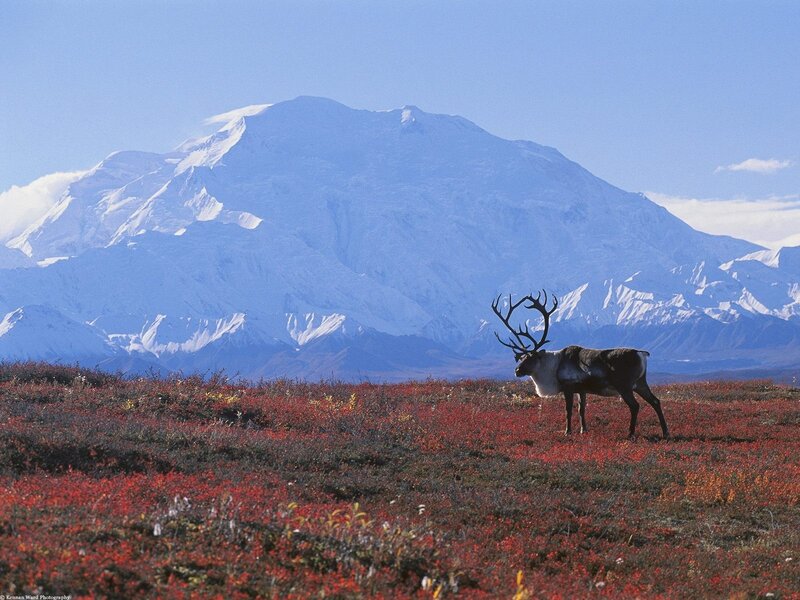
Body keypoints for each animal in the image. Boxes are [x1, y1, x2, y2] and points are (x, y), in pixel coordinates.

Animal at [492, 290, 669, 440]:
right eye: (522, 357)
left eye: (531, 358)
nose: (517, 370)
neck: (554, 365)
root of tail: (641, 353)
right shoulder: (582, 390)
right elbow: (581, 410)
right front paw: (584, 430)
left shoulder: (568, 387)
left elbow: (568, 411)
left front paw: (567, 431)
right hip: (640, 383)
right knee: (655, 401)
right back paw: (665, 432)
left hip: (624, 385)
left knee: (635, 406)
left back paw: (630, 433)